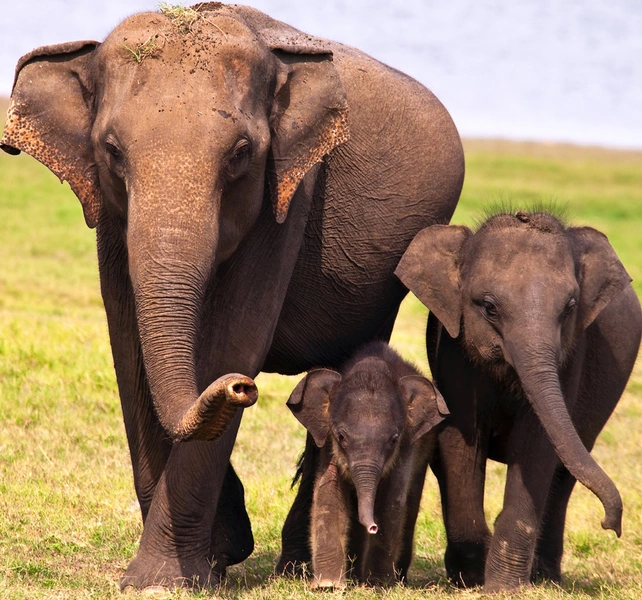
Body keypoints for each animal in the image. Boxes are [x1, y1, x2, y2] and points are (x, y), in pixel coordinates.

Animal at [284, 340, 444, 588]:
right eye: (341, 436)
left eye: (394, 439)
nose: (372, 526)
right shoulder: (327, 444)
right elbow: (329, 493)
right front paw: (328, 587)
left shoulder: (407, 447)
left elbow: (392, 501)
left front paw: (378, 585)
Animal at [396, 210, 640, 592]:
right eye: (489, 308)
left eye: (570, 308)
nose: (611, 525)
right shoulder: (453, 350)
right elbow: (460, 441)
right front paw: (471, 579)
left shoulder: (571, 357)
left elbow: (536, 446)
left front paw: (502, 587)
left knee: (565, 473)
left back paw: (546, 577)